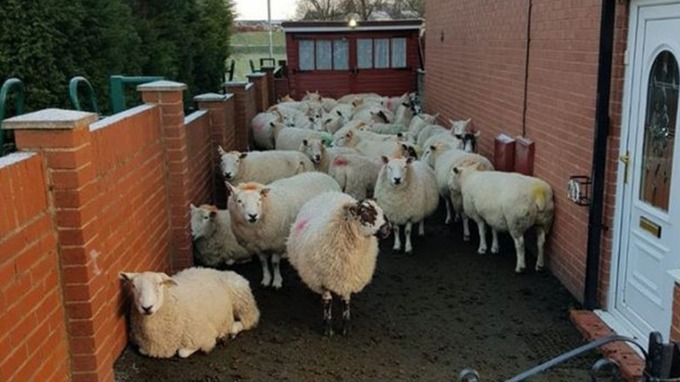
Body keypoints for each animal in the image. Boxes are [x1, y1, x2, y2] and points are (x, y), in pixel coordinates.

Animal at [119, 268, 260, 358]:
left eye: (160, 284)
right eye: (133, 286)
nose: (147, 307)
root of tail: (216, 270)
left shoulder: (202, 334)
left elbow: (182, 353)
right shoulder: (144, 345)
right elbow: (142, 350)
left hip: (242, 299)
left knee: (249, 319)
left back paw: (232, 330)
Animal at [288, 192, 394, 336]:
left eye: (379, 208)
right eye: (364, 211)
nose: (388, 228)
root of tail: (329, 192)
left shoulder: (348, 278)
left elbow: (346, 302)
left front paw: (345, 329)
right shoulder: (323, 280)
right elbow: (328, 302)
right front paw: (327, 330)